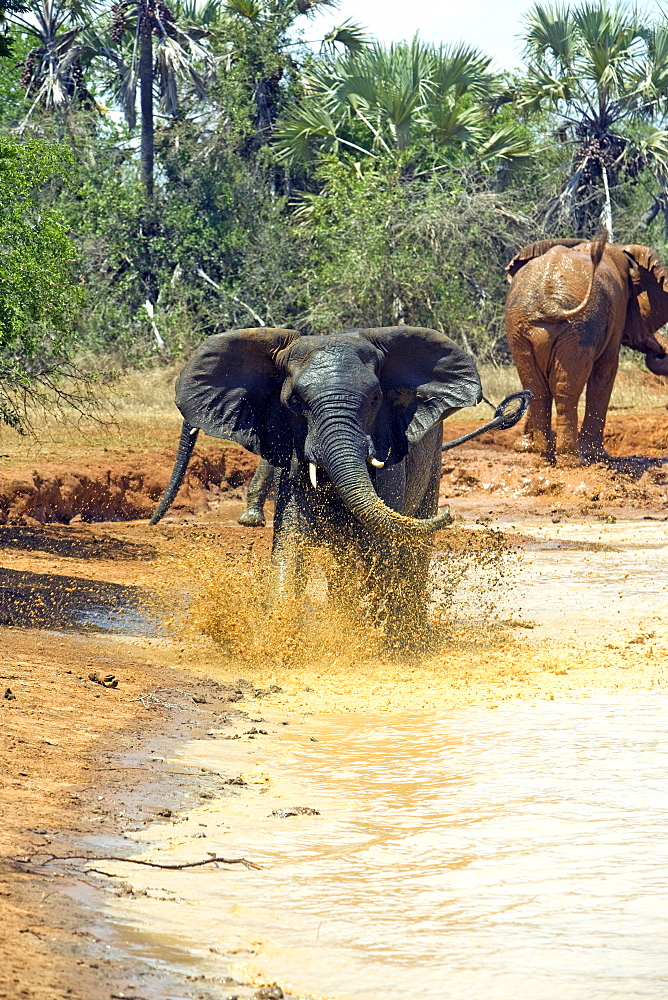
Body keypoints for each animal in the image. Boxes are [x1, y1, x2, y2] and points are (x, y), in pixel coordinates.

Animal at [151, 324, 480, 644]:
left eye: (376, 398)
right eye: (295, 402)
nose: (450, 513)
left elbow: (379, 547)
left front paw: (383, 646)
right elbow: (292, 540)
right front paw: (278, 643)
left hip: (433, 457)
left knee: (414, 548)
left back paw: (413, 638)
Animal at [506, 235, 668, 464]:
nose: (659, 353)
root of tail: (548, 302)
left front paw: (524, 448)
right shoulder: (617, 310)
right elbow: (605, 371)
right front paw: (598, 456)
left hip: (520, 329)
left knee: (536, 387)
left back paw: (544, 457)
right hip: (579, 329)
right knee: (566, 387)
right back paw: (574, 461)